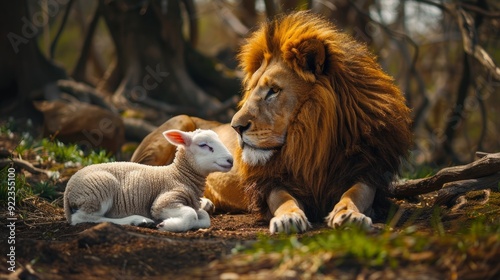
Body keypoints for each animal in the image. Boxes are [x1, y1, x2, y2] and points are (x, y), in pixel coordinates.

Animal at [63, 129, 233, 232]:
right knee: (84, 218)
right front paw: (167, 224)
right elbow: (191, 214)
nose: (230, 160)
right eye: (203, 145)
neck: (178, 175)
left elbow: (204, 217)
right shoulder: (164, 201)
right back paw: (138, 220)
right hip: (98, 190)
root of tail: (68, 191)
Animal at [131, 10, 412, 234]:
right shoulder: (270, 181)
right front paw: (289, 218)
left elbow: (356, 193)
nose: (236, 127)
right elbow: (284, 199)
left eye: (273, 91)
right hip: (178, 122)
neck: (314, 141)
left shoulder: (368, 169)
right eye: (251, 90)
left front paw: (350, 214)